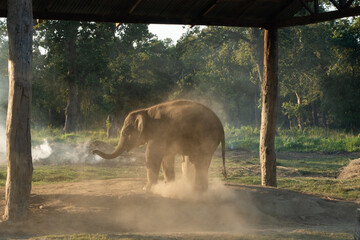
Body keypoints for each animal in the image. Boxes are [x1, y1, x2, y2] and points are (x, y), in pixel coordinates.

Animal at [91, 99, 226, 191]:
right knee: (195, 161)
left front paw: (147, 189)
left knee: (200, 161)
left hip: (207, 137)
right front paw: (169, 186)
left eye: (124, 132)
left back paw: (197, 190)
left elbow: (152, 155)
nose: (92, 151)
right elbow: (166, 157)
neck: (145, 111)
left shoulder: (159, 133)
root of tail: (221, 126)